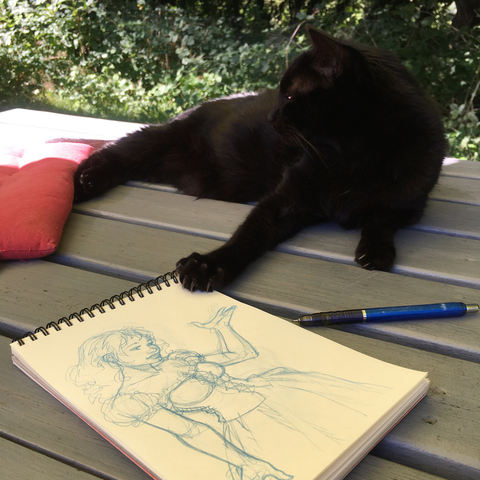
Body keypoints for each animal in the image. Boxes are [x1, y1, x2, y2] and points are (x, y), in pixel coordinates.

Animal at [73, 25, 447, 292]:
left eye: (291, 96)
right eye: (281, 94)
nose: (270, 117)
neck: (354, 159)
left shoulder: (410, 204)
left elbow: (381, 218)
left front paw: (376, 250)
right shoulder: (283, 199)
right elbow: (249, 233)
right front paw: (210, 264)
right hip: (160, 140)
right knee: (115, 150)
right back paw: (83, 183)